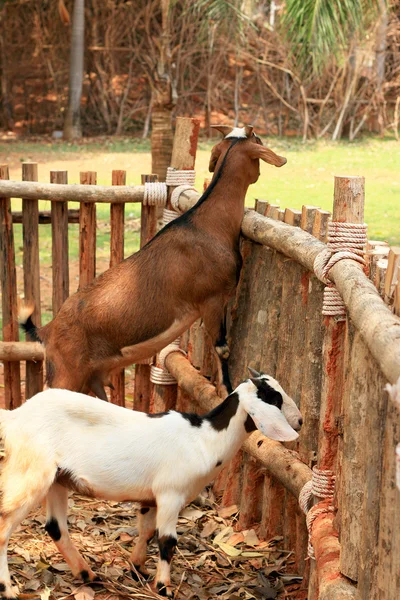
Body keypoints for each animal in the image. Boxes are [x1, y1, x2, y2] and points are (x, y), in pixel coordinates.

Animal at [0, 372, 302, 596]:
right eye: (275, 398)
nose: (299, 421)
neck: (204, 439)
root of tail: (15, 416)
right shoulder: (171, 494)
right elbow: (167, 540)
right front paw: (164, 587)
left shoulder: (151, 498)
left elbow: (145, 531)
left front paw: (138, 569)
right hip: (31, 473)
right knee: (4, 525)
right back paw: (9, 590)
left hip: (56, 480)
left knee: (55, 527)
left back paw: (88, 574)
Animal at [21, 125, 286, 398]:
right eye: (259, 140)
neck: (208, 224)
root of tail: (46, 331)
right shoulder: (211, 300)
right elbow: (222, 348)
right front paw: (226, 390)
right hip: (66, 375)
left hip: (90, 380)